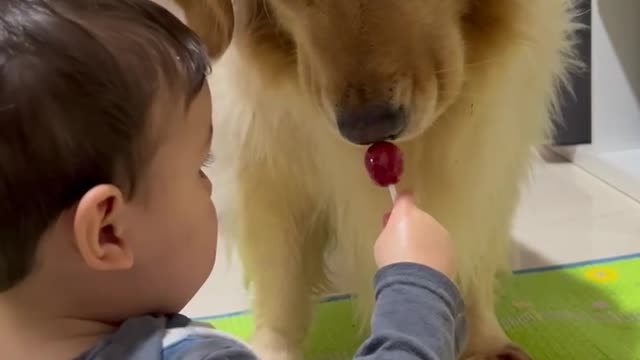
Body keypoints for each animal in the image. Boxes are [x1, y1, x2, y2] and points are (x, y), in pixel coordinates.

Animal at [174, 1, 576, 358]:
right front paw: (273, 348)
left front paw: (484, 342)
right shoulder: (266, 160)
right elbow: (281, 280)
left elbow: (470, 243)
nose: (368, 128)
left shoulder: (495, 141)